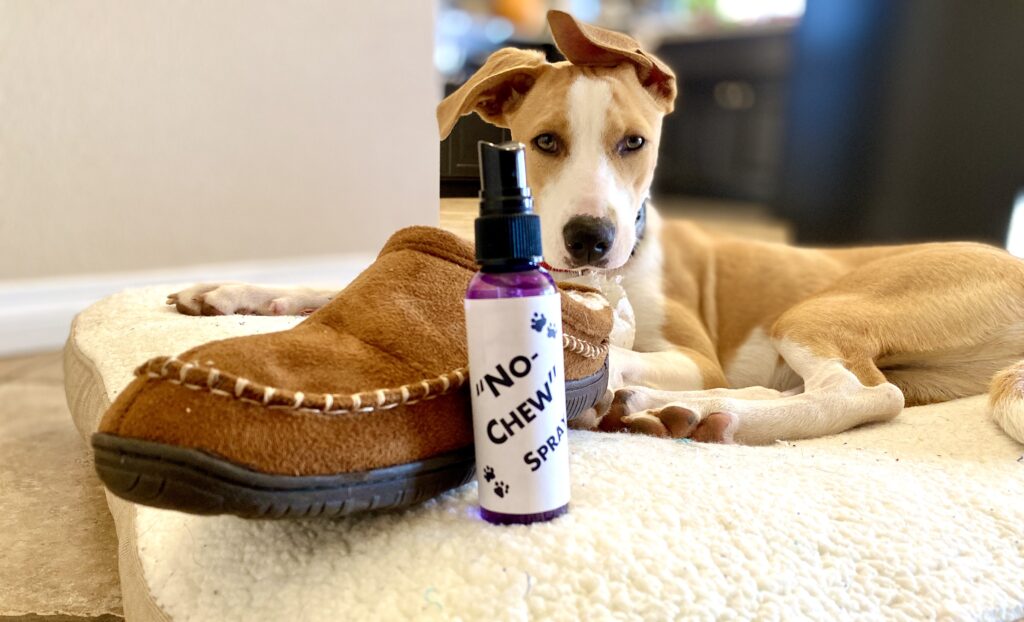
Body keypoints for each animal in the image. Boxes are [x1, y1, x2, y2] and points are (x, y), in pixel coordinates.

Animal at [169, 10, 1024, 446]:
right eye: (545, 142)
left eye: (635, 144)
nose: (590, 239)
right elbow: (328, 284)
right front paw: (238, 293)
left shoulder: (691, 351)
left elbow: (617, 347)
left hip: (822, 309)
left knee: (867, 396)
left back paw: (709, 413)